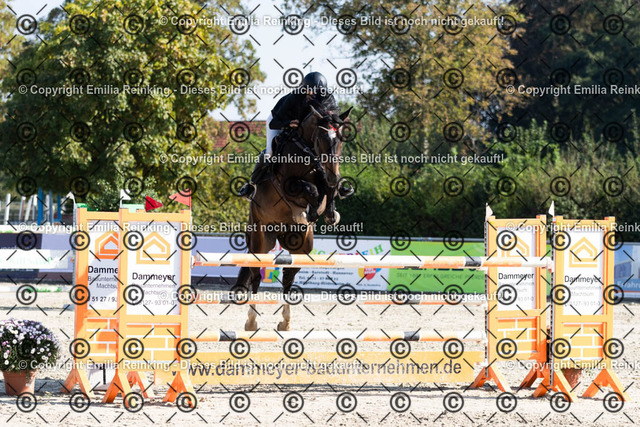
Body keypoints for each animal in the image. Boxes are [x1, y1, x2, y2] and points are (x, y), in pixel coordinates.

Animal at [236, 105, 352, 331]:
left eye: (341, 139)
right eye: (321, 138)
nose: (334, 176)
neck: (307, 153)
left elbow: (325, 192)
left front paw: (328, 212)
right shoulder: (288, 184)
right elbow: (310, 189)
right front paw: (309, 211)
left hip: (302, 245)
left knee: (289, 276)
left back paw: (285, 321)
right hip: (260, 238)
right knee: (255, 276)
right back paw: (251, 321)